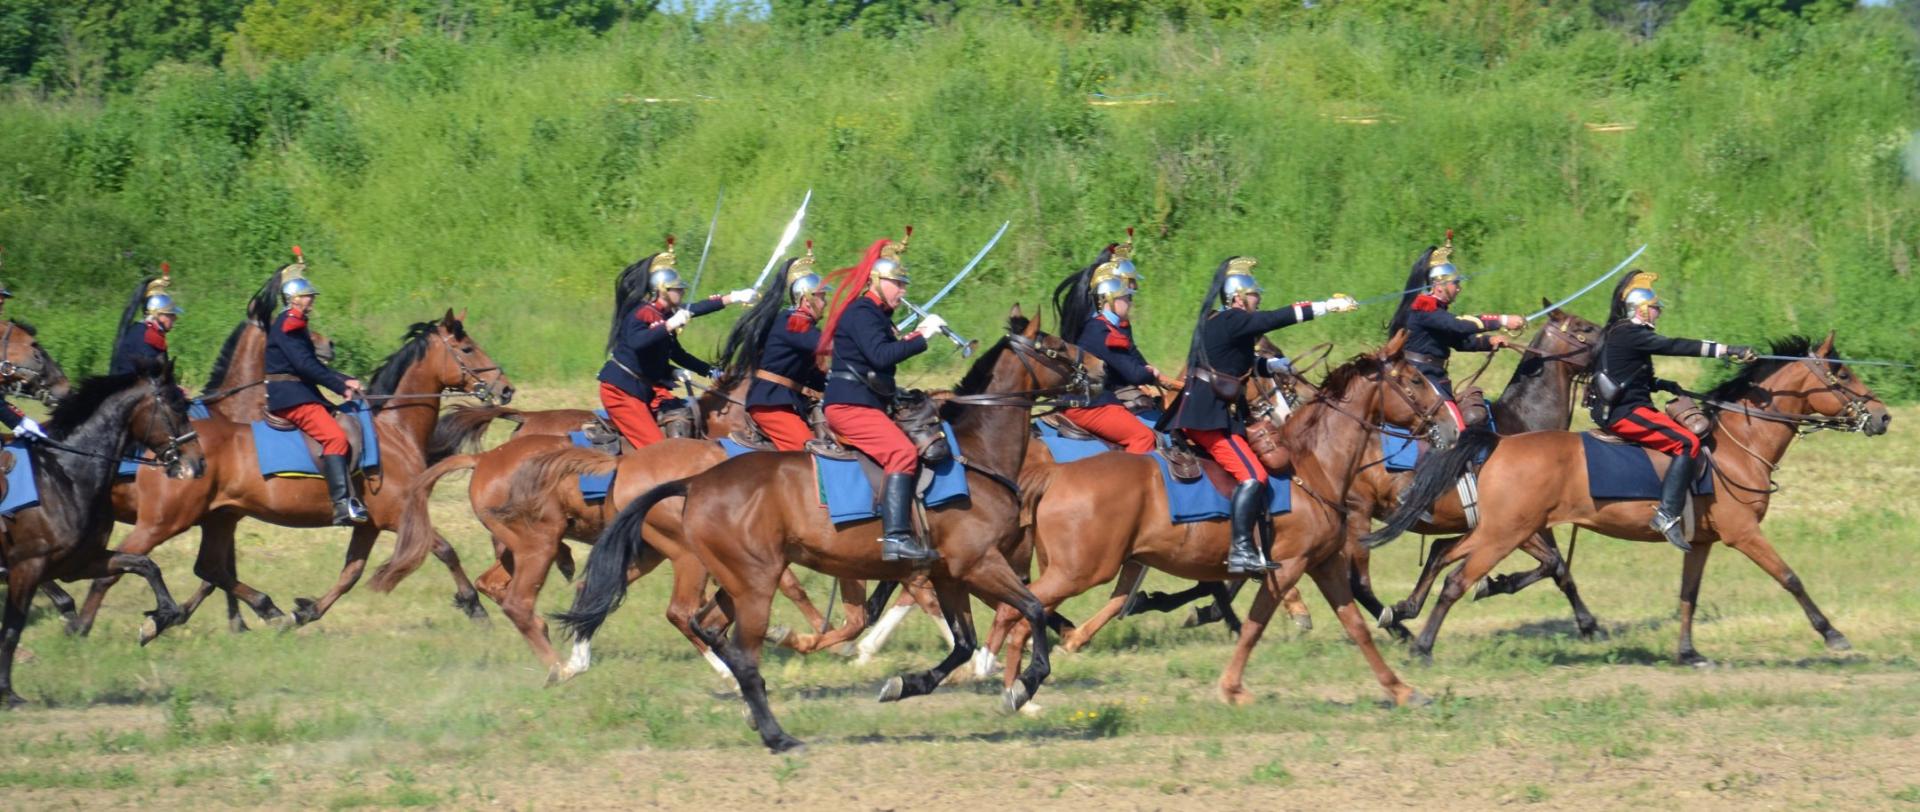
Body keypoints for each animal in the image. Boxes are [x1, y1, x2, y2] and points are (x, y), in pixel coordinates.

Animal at [1, 358, 206, 702]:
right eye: (177, 407)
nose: (198, 463)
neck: (65, 477)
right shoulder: (27, 567)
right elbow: (12, 628)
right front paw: (8, 693)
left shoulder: (78, 562)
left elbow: (145, 565)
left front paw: (159, 621)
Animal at [72, 310, 514, 637]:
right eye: (467, 348)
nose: (506, 389)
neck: (393, 429)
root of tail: (169, 449)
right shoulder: (399, 514)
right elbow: (445, 550)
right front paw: (474, 606)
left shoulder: (368, 524)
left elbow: (350, 572)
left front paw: (306, 612)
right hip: (165, 520)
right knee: (123, 564)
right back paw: (87, 625)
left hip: (217, 518)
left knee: (208, 568)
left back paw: (262, 611)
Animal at [556, 312, 1105, 756]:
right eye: (1054, 346)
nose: (1099, 371)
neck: (973, 454)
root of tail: (696, 481)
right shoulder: (978, 563)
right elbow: (1032, 609)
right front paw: (1023, 687)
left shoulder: (950, 573)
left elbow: (964, 643)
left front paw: (904, 683)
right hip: (753, 583)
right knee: (740, 653)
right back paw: (777, 734)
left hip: (736, 579)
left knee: (705, 625)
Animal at [990, 334, 1443, 710]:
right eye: (1415, 380)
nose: (1445, 425)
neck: (1310, 467)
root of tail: (1055, 475)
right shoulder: (1288, 568)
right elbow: (1254, 625)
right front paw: (1232, 687)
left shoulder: (1323, 564)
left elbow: (1356, 626)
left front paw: (1401, 689)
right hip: (1079, 571)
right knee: (1018, 611)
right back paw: (1016, 684)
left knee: (1023, 611)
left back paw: (1019, 683)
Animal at [1367, 334, 1889, 664]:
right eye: (1842, 373)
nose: (1882, 416)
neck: (1736, 446)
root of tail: (1497, 442)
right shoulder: (1744, 534)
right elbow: (1790, 578)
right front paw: (1832, 633)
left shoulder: (1701, 543)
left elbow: (1688, 596)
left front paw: (1688, 653)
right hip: (1506, 532)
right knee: (1456, 579)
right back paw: (1423, 645)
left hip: (1499, 529)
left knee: (1443, 556)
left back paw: (1409, 615)